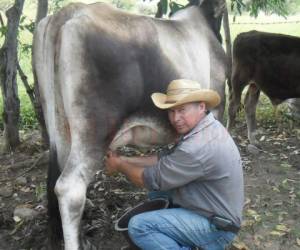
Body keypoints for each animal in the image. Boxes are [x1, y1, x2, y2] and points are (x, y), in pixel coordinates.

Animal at [32, 0, 229, 249]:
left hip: (60, 131)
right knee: (70, 188)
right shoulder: (217, 106)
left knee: (54, 180)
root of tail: (70, 12)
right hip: (93, 132)